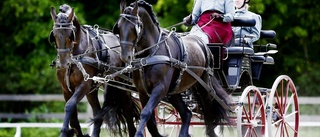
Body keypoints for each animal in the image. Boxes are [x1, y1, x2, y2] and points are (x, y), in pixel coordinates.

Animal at [49, 4, 139, 136]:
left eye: (71, 35)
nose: (63, 63)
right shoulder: (66, 89)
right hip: (93, 90)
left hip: (122, 87)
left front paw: (65, 131)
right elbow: (73, 118)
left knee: (128, 113)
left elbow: (70, 105)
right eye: (54, 35)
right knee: (97, 113)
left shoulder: (84, 84)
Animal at [113, 0, 232, 136]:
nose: (125, 56)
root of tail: (202, 44)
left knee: (208, 110)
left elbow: (145, 113)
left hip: (203, 86)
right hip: (174, 90)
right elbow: (150, 122)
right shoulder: (143, 92)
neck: (150, 54)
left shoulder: (160, 88)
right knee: (187, 113)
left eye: (135, 28)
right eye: (118, 28)